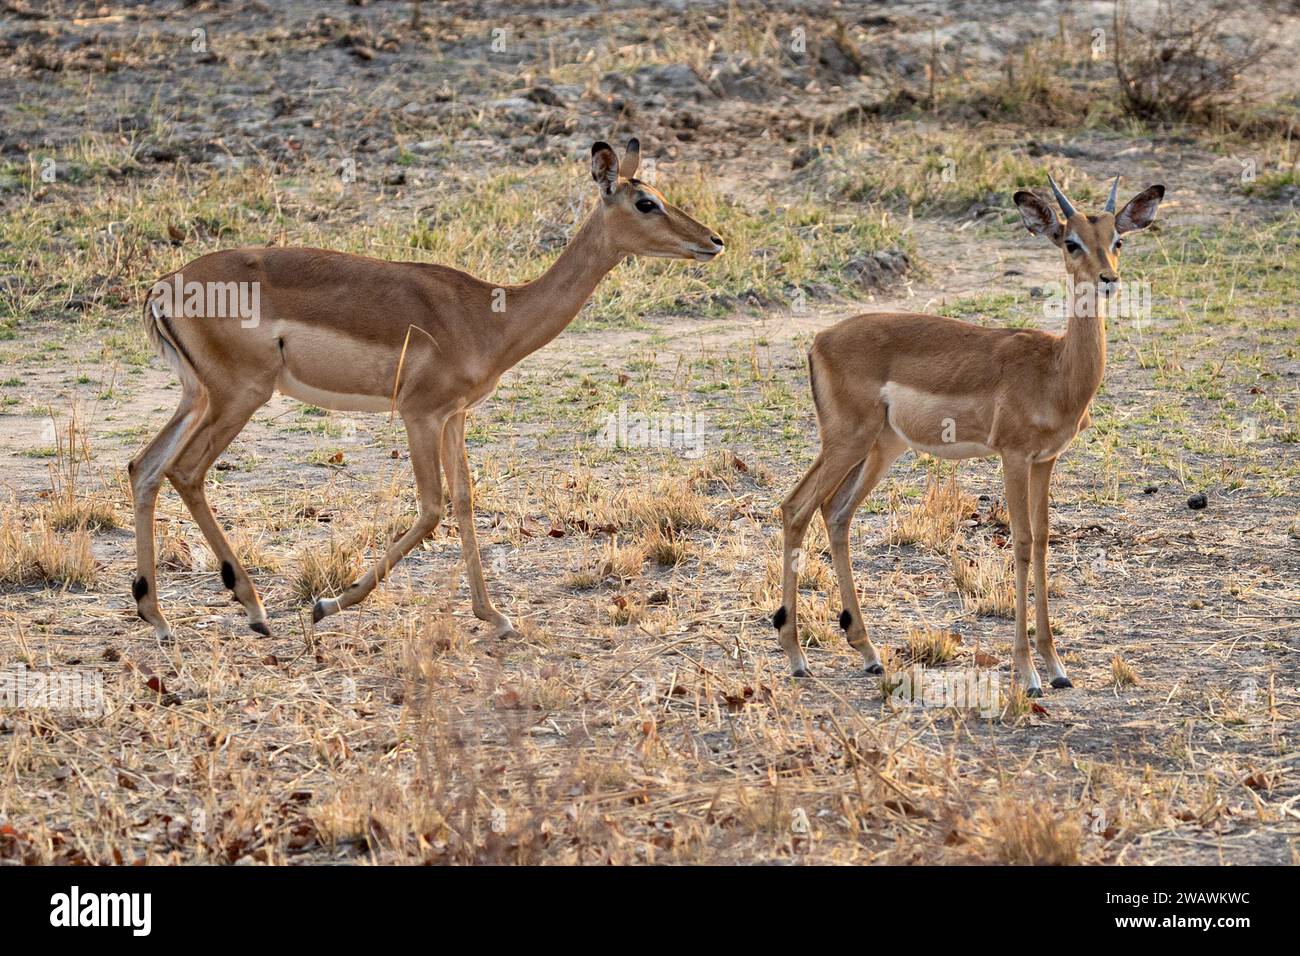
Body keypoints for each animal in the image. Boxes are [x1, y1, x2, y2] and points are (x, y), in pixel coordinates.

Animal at [129, 139, 723, 642]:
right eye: (646, 202)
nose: (714, 241)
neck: (491, 316)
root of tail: (164, 286)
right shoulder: (420, 414)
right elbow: (433, 507)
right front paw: (327, 604)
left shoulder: (455, 415)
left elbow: (463, 500)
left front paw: (494, 615)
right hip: (239, 396)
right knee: (185, 471)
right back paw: (251, 609)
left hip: (199, 397)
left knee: (145, 467)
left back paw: (158, 617)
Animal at [773, 174, 1164, 695]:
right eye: (1071, 241)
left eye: (1117, 240)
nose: (1109, 279)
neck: (1055, 371)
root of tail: (819, 340)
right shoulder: (1013, 457)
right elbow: (1021, 543)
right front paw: (1028, 673)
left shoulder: (1046, 460)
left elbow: (1043, 540)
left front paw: (1057, 667)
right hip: (846, 441)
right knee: (795, 508)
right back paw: (797, 657)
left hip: (880, 447)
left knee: (835, 514)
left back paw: (869, 653)